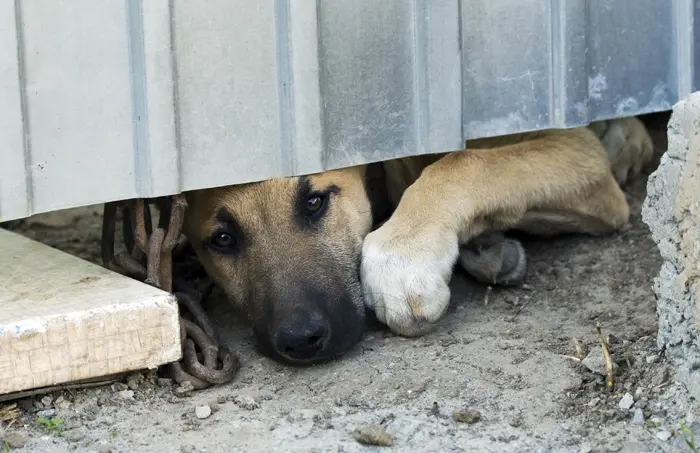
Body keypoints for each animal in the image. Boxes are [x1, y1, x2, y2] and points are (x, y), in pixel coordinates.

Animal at [180, 116, 656, 364]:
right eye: (223, 239)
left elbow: (465, 162)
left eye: (314, 202)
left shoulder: (578, 150)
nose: (300, 340)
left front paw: (404, 256)